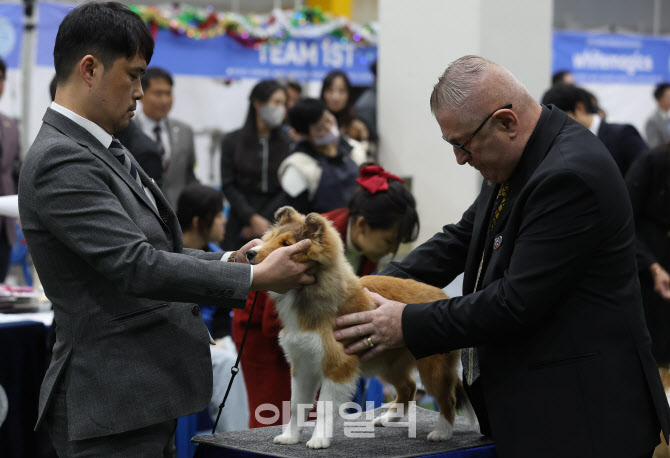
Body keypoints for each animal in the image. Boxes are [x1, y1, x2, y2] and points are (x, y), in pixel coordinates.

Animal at [248, 206, 478, 450]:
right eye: (269, 238)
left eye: (286, 244)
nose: (250, 253)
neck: (310, 293)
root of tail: (442, 295)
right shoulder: (302, 364)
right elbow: (296, 405)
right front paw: (290, 436)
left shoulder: (337, 365)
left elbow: (324, 408)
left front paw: (319, 439)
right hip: (388, 362)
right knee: (409, 387)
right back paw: (388, 418)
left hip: (433, 366)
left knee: (448, 398)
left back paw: (442, 432)